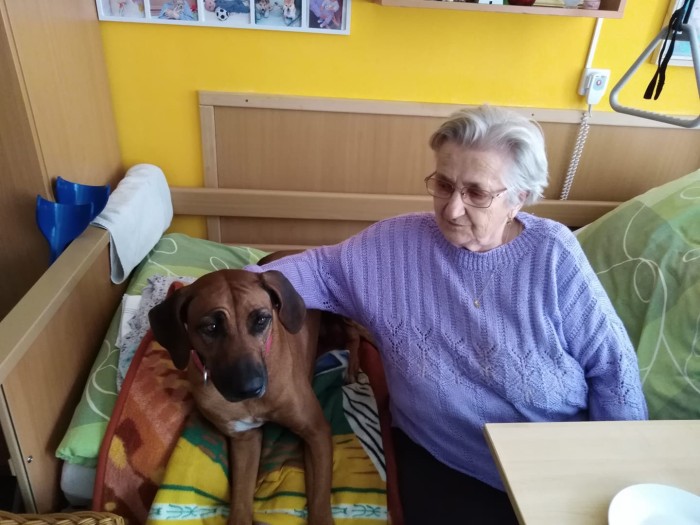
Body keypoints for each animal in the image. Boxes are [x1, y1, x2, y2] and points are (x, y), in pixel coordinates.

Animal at [149, 261, 356, 525]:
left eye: (261, 320)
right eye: (210, 327)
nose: (250, 388)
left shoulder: (316, 431)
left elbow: (319, 499)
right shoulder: (245, 439)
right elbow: (241, 498)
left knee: (357, 337)